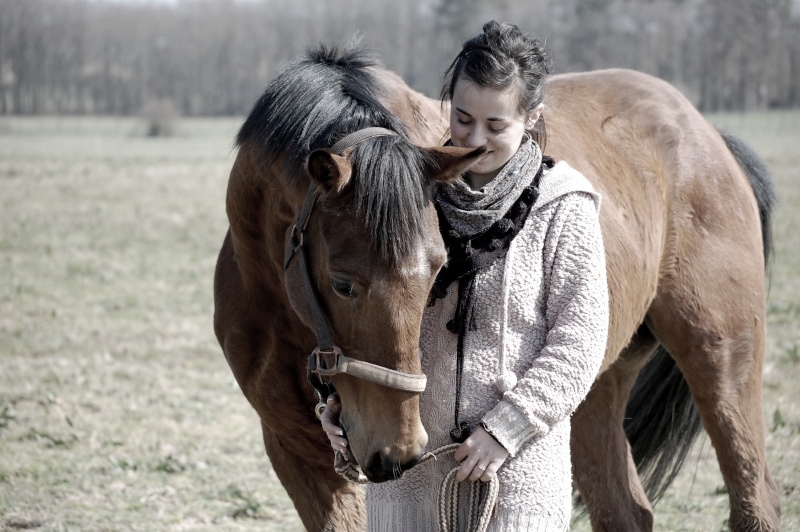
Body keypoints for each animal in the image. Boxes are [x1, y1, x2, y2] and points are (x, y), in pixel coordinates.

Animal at [214, 43, 780, 532]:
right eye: (342, 283)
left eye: (436, 271)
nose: (400, 451)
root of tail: (704, 131)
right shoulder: (295, 450)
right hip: (593, 387)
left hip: (721, 361)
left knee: (754, 495)